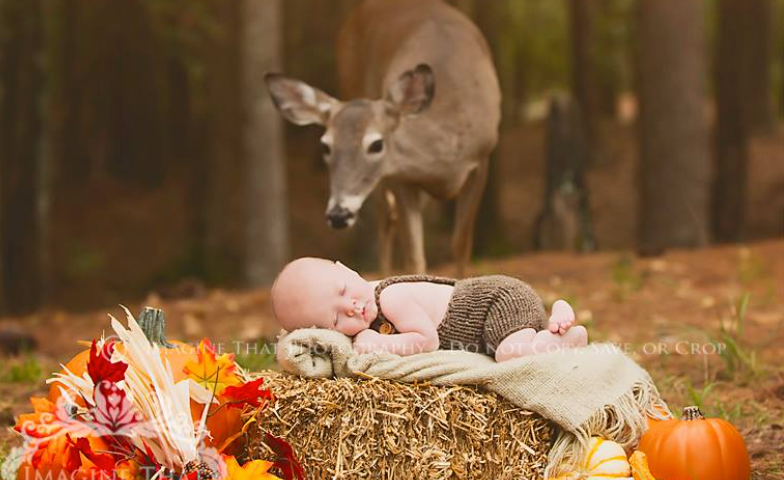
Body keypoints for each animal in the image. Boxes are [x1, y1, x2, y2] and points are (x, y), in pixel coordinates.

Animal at [265, 0, 500, 277]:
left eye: (376, 144)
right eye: (326, 146)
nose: (338, 215)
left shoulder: (481, 160)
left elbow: (461, 245)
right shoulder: (399, 177)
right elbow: (414, 256)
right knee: (385, 218)